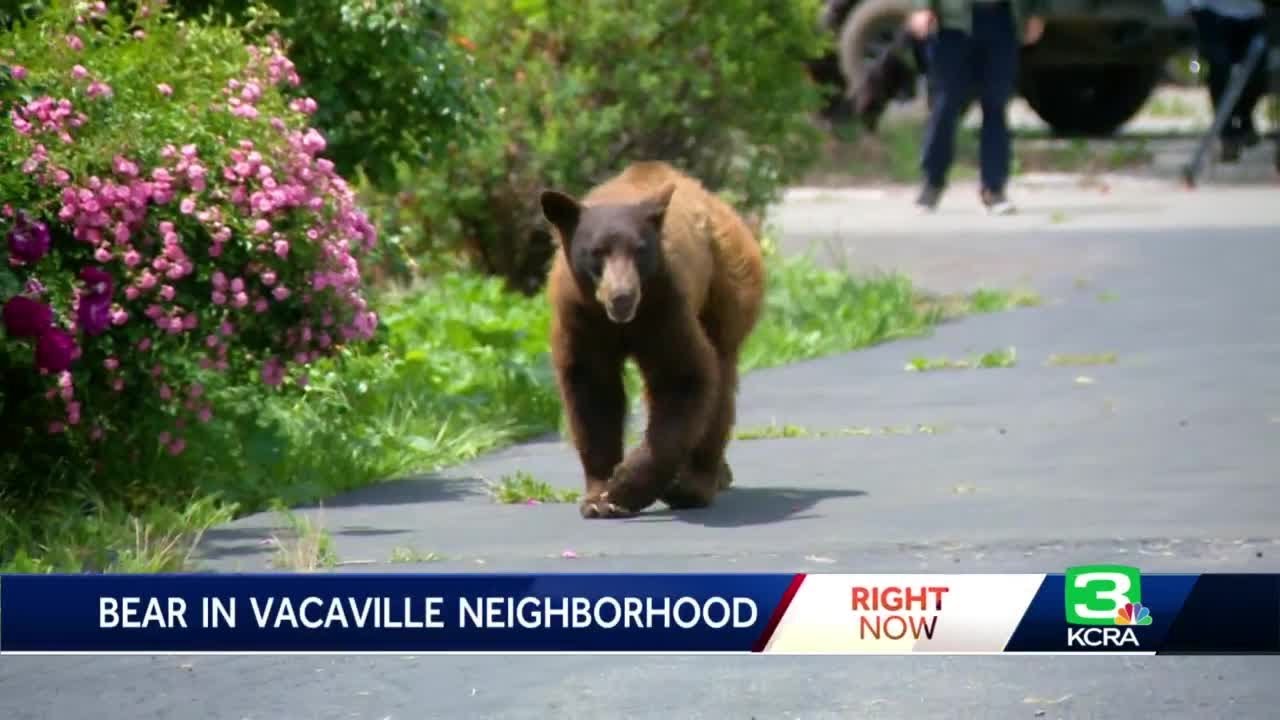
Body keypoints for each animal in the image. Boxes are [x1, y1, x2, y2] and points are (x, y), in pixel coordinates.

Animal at [539, 161, 766, 519]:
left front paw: (624, 486)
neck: (618, 322)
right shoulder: (579, 318)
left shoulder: (664, 307)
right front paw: (598, 497)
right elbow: (591, 394)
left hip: (726, 284)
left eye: (640, 250)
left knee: (720, 378)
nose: (622, 296)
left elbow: (682, 375)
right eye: (597, 252)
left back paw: (694, 484)